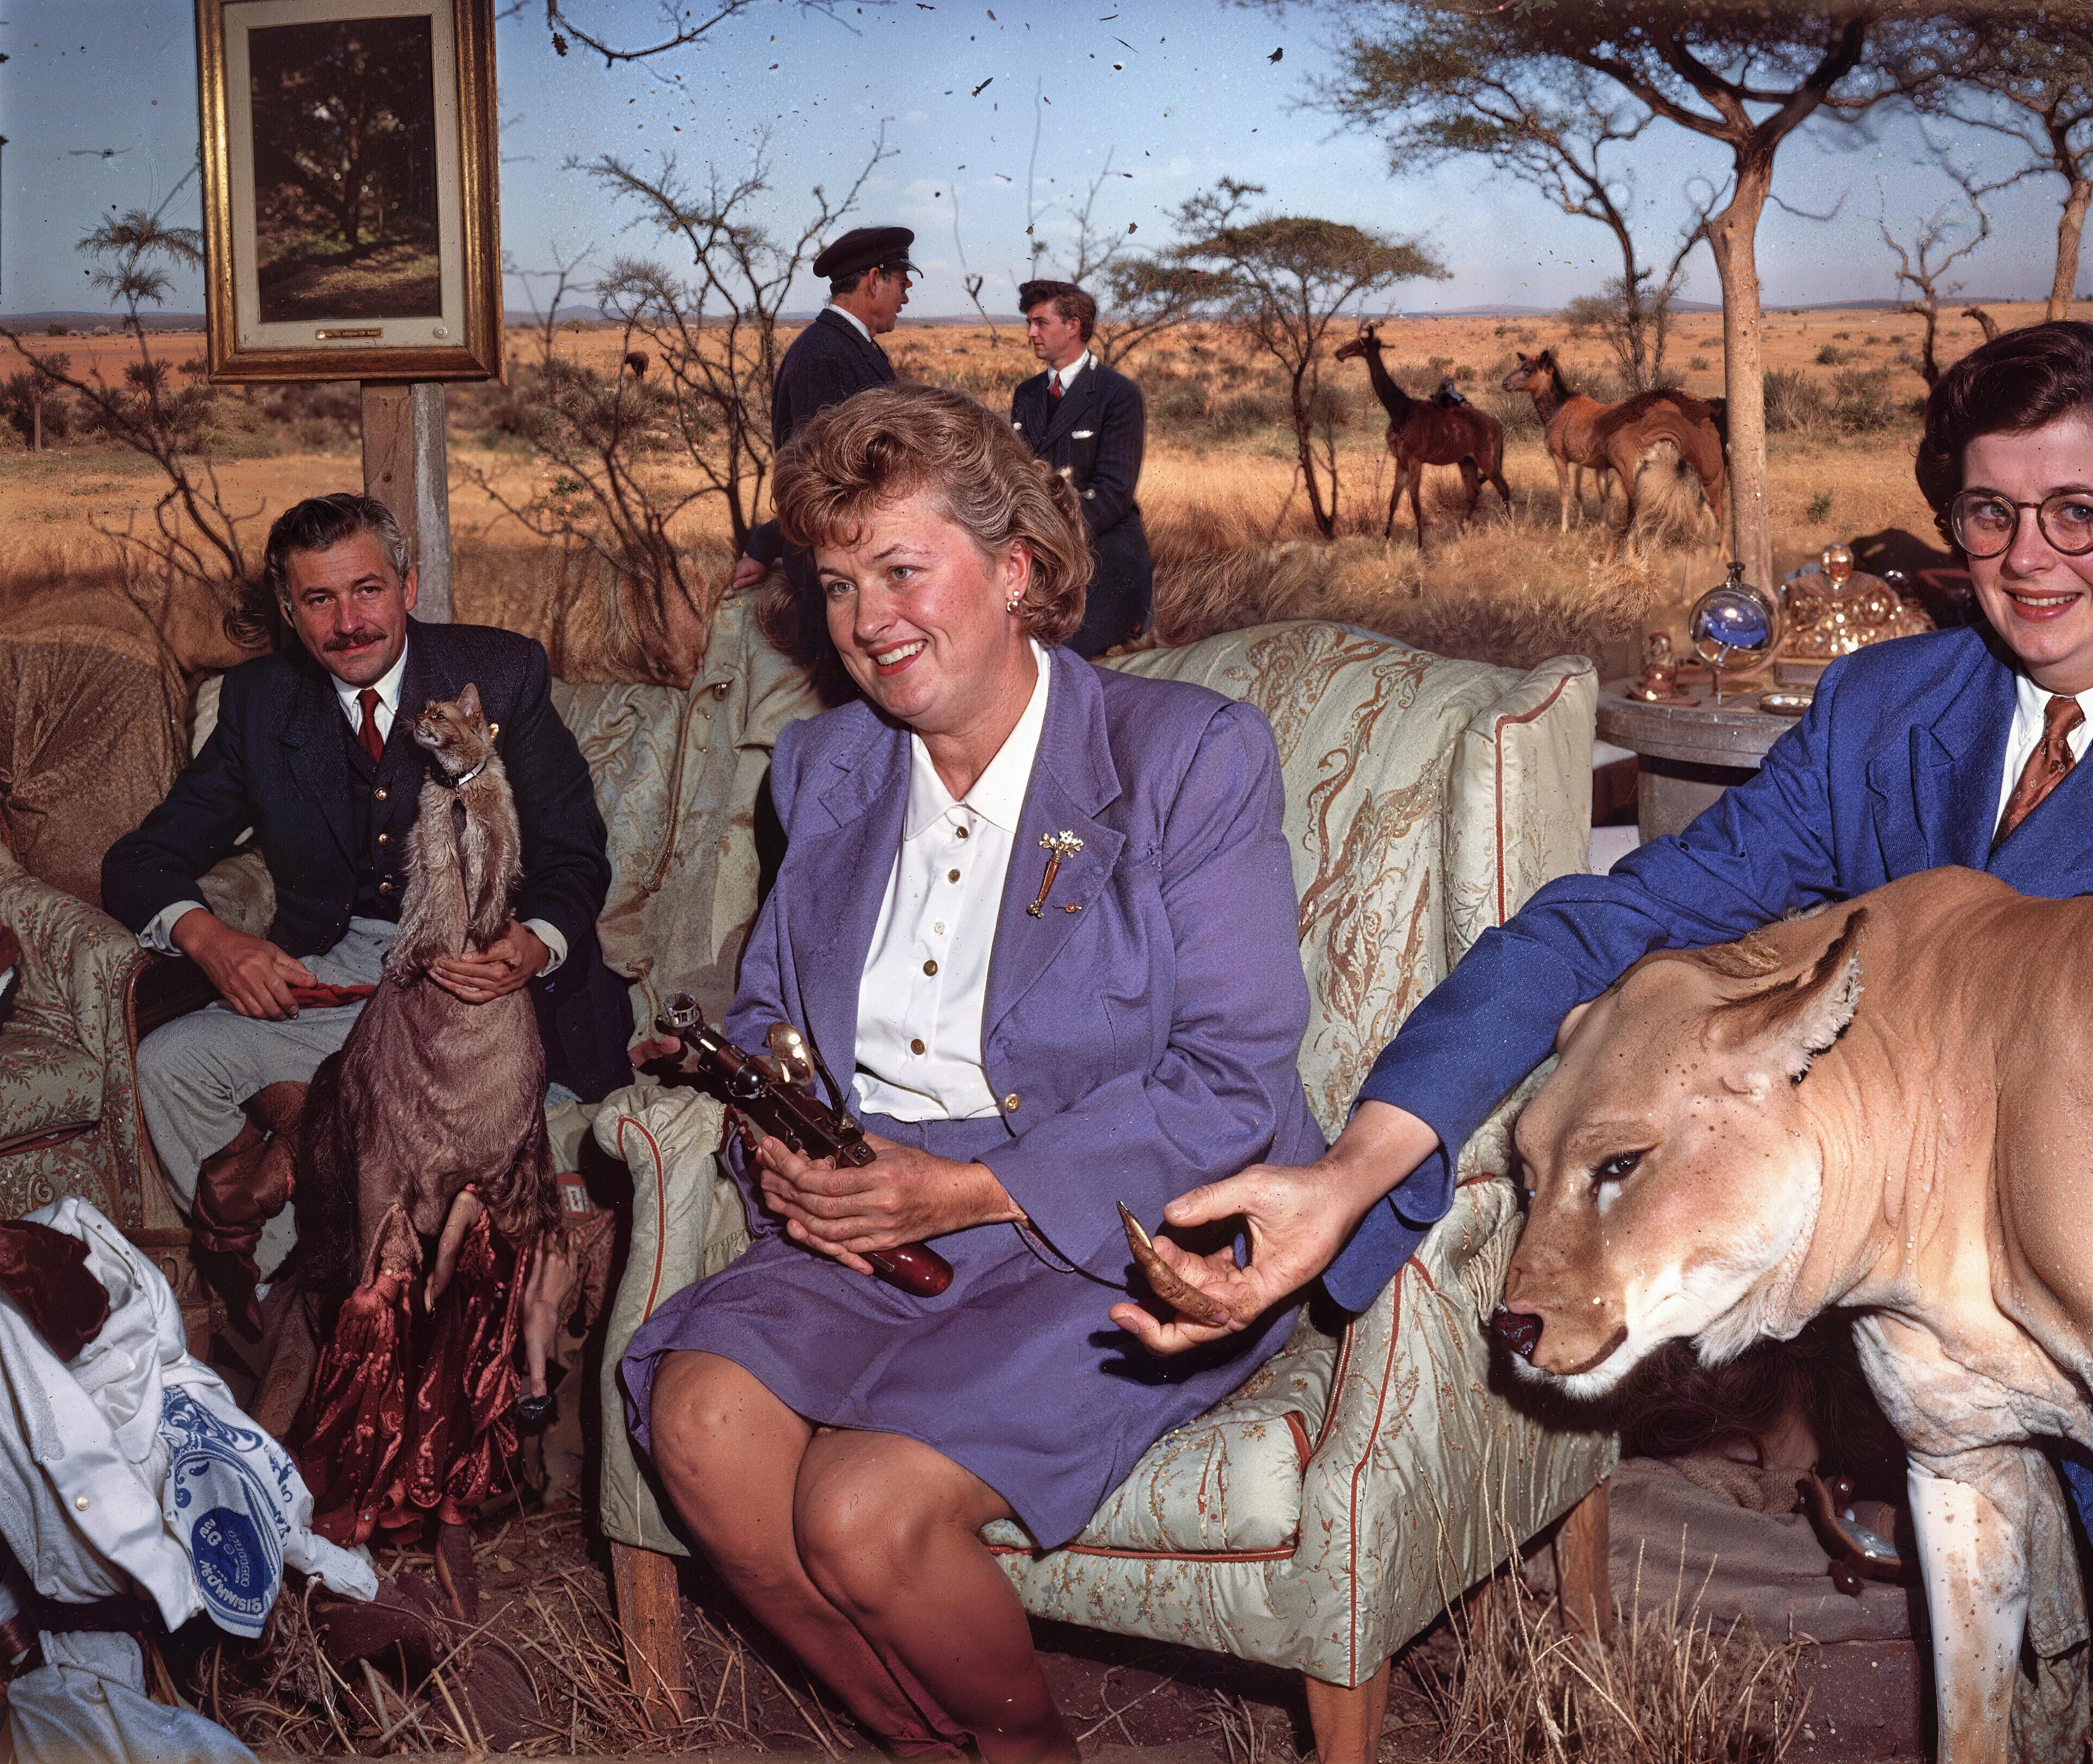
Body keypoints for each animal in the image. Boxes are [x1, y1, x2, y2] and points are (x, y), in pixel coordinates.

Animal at [1339, 324, 1507, 544]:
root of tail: (1498, 428)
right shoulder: (1401, 461)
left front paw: (1421, 545)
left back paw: (1510, 526)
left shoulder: (1415, 460)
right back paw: (1461, 530)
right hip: (1466, 461)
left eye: (1361, 343)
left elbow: (1417, 505)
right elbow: (1394, 501)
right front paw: (1386, 539)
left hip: (1488, 459)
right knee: (1474, 492)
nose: (1339, 353)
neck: (1401, 413)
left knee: (1504, 489)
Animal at [1507, 347, 1733, 556]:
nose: (1505, 383)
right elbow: (1600, 496)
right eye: (1518, 365)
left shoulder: (1560, 457)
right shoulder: (1598, 466)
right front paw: (1599, 529)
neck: (1557, 410)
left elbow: (1566, 493)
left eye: (1528, 369)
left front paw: (1565, 531)